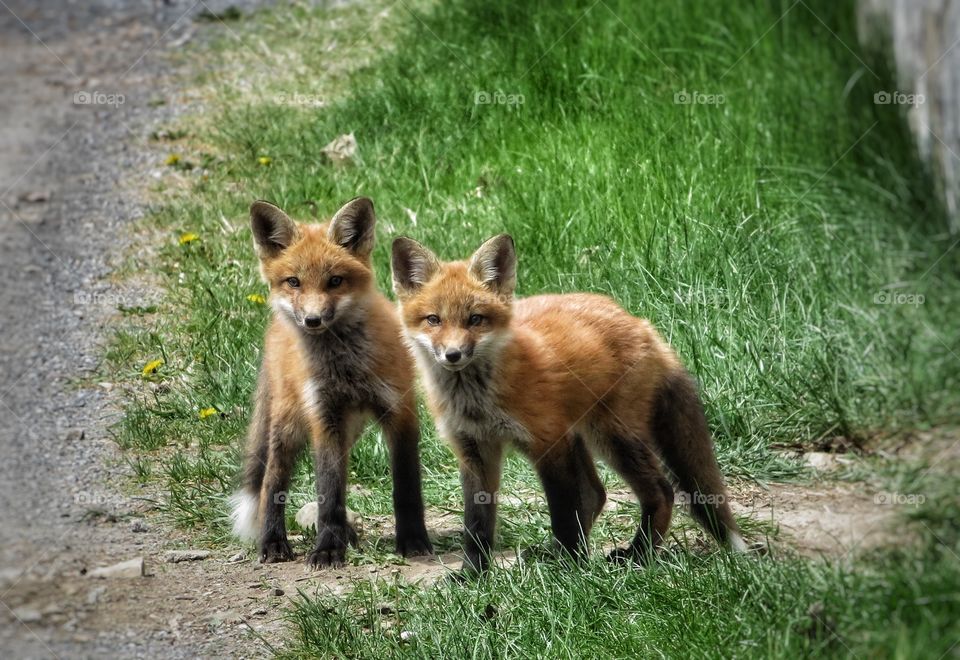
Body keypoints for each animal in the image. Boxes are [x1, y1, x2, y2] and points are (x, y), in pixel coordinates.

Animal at [230, 196, 432, 568]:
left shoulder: (399, 410)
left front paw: (412, 540)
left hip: (349, 429)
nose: (312, 320)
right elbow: (328, 489)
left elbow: (406, 485)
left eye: (335, 281)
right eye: (294, 282)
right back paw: (273, 542)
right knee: (270, 482)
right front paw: (326, 548)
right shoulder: (324, 417)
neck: (345, 368)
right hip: (289, 424)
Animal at [390, 233, 752, 572]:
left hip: (613, 436)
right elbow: (477, 524)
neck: (477, 399)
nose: (453, 355)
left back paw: (637, 555)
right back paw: (564, 552)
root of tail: (642, 324)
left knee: (661, 491)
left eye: (475, 319)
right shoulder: (474, 450)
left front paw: (569, 570)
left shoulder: (548, 441)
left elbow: (563, 510)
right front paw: (473, 575)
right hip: (583, 435)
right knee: (596, 494)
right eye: (433, 319)